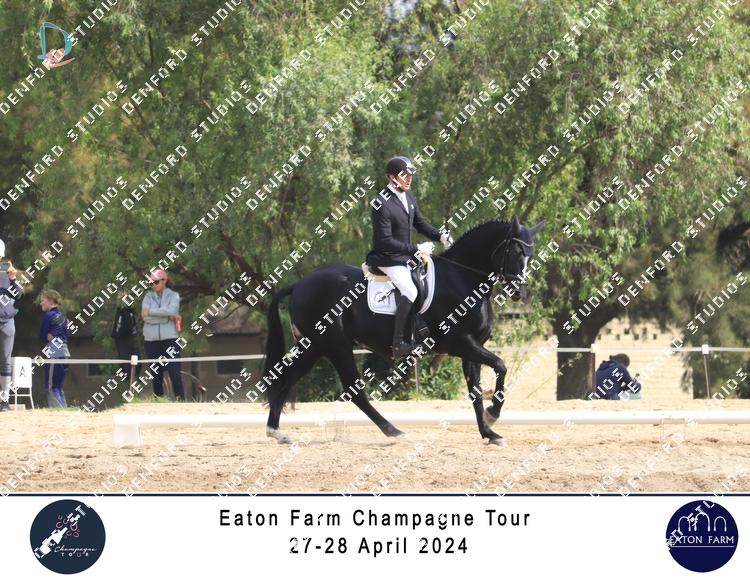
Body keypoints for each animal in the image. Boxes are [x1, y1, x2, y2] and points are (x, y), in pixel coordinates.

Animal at [262, 216, 545, 446]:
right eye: (515, 252)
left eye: (530, 256)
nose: (519, 294)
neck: (463, 279)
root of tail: (299, 284)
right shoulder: (461, 343)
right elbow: (501, 365)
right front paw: (493, 414)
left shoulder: (471, 348)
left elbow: (475, 391)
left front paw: (489, 432)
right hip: (335, 346)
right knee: (355, 391)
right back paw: (394, 432)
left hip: (315, 347)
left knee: (288, 379)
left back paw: (276, 432)